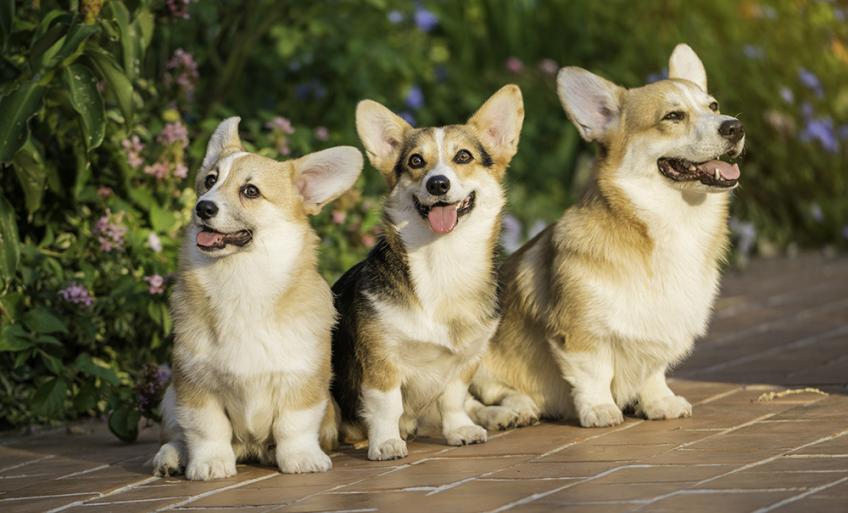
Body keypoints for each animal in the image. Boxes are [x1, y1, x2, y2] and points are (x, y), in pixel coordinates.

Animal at [152, 118, 362, 478]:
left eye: (250, 191)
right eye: (209, 181)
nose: (202, 207)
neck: (241, 280)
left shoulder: (302, 379)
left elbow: (294, 425)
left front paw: (301, 459)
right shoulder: (195, 383)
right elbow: (206, 429)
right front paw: (209, 464)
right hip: (169, 395)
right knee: (177, 434)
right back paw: (171, 457)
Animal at [332, 85, 524, 460]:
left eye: (463, 156)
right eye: (416, 161)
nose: (438, 184)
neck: (443, 260)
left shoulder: (465, 360)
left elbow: (454, 398)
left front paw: (461, 430)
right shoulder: (381, 360)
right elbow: (386, 406)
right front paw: (386, 443)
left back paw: (502, 413)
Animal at [474, 44, 744, 428]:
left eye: (714, 106)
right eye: (673, 116)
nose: (735, 127)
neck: (674, 222)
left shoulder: (657, 331)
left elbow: (652, 370)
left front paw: (659, 402)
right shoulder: (581, 334)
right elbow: (595, 374)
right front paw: (600, 410)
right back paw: (513, 410)